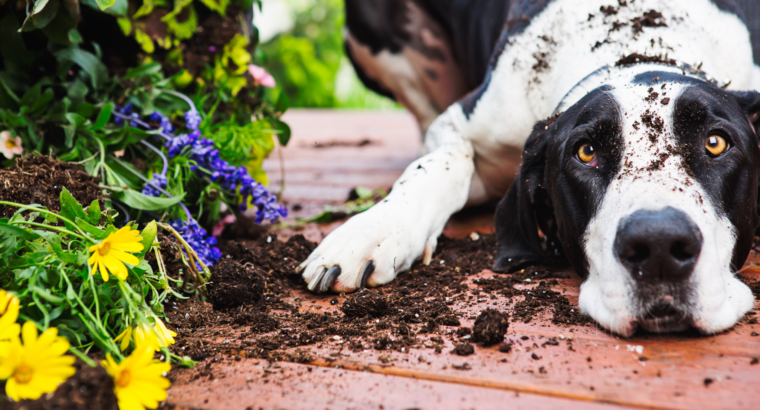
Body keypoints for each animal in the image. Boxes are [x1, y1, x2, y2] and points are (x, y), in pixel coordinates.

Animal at [296, 0, 760, 336]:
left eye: (716, 143)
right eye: (586, 152)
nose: (659, 245)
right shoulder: (462, 123)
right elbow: (440, 163)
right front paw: (373, 230)